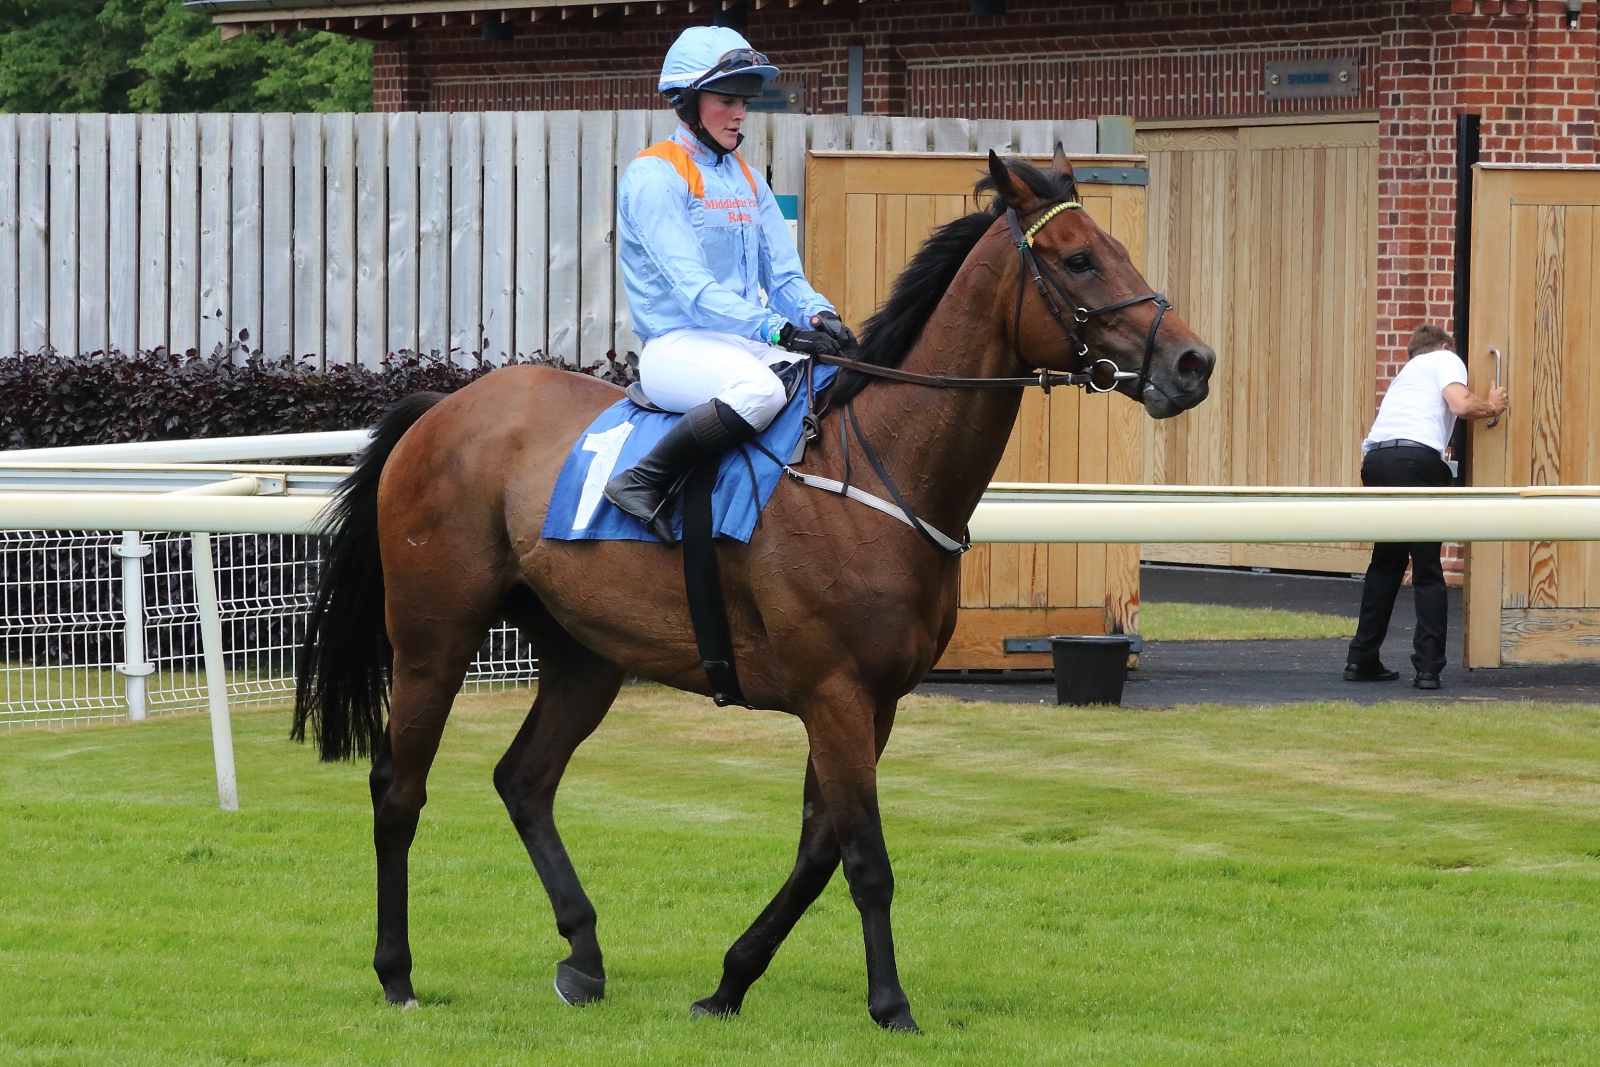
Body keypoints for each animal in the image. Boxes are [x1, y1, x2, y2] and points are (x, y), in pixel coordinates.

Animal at [294, 149, 1215, 1032]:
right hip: (433, 639)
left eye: (1117, 246)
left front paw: (729, 982)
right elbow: (864, 857)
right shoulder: (834, 691)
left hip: (585, 654)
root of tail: (438, 410)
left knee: (524, 779)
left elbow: (818, 850)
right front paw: (891, 1004)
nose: (1193, 362)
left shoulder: (875, 699)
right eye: (1080, 259)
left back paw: (583, 957)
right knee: (398, 789)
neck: (875, 463)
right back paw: (398, 974)